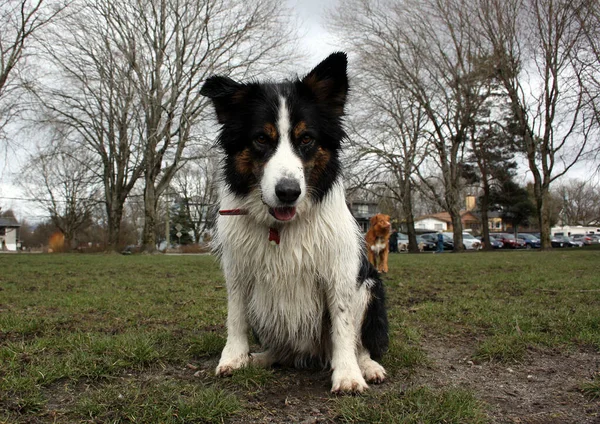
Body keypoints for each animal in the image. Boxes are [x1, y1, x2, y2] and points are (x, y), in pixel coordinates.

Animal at [202, 53, 390, 394]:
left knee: (360, 343)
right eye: (261, 138)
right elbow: (235, 317)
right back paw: (262, 357)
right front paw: (234, 358)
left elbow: (343, 327)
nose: (288, 192)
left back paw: (367, 366)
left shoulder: (340, 273)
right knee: (281, 349)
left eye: (306, 139)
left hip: (370, 288)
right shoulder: (238, 271)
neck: (282, 227)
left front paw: (348, 375)